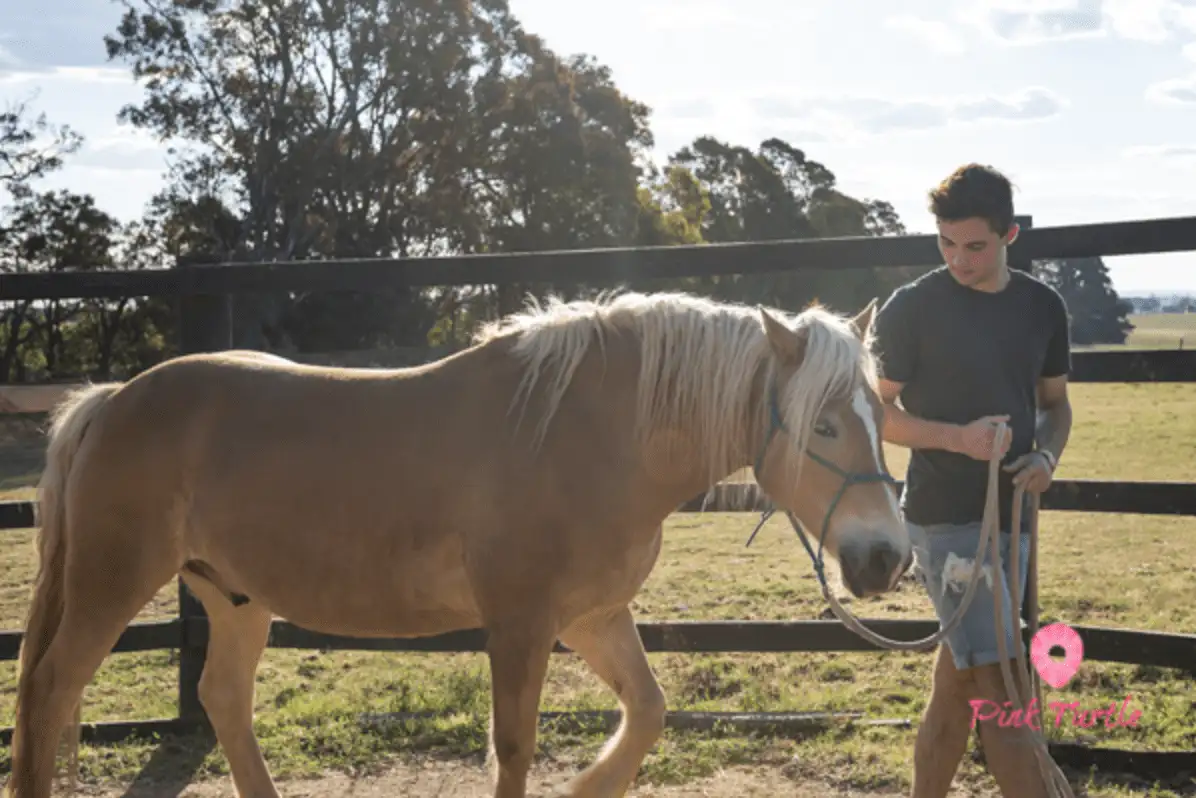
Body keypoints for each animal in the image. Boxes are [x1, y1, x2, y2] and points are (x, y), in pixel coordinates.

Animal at [6, 289, 911, 798]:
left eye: (880, 413)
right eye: (823, 424)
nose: (886, 558)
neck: (588, 433)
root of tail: (112, 399)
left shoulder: (592, 617)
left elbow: (649, 713)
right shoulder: (519, 625)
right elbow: (513, 749)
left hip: (234, 599)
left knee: (222, 699)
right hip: (111, 582)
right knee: (50, 691)